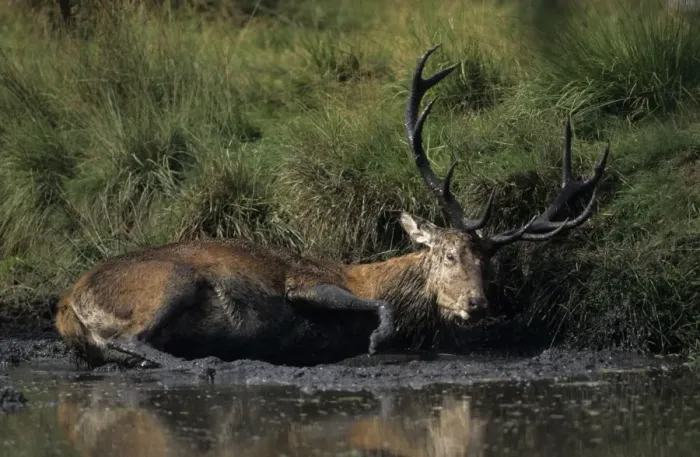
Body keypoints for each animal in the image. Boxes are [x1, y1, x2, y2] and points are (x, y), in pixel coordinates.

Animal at [54, 44, 609, 371]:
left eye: (489, 263)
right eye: (449, 254)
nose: (477, 304)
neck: (375, 277)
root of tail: (67, 306)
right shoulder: (304, 280)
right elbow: (376, 311)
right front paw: (377, 339)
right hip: (169, 280)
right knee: (132, 338)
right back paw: (199, 362)